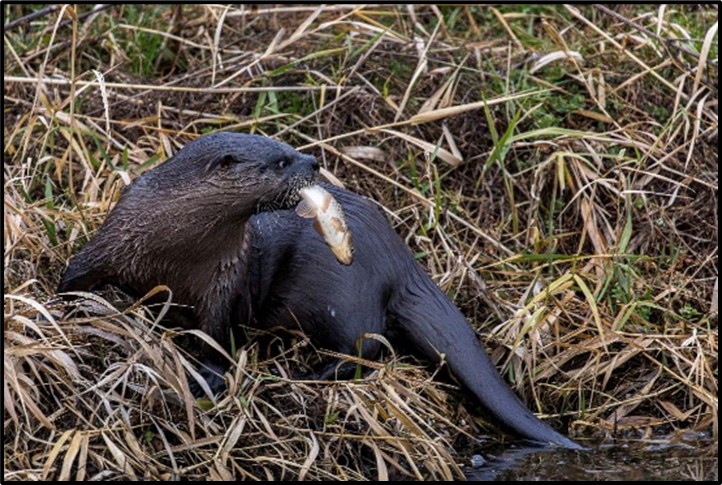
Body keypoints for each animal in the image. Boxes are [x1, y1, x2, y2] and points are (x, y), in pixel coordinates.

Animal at [59, 132, 580, 449]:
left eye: (287, 145)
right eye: (280, 159)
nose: (313, 160)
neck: (175, 246)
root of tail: (402, 261)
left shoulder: (225, 282)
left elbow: (218, 335)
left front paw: (209, 377)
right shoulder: (117, 234)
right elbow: (76, 275)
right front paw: (64, 310)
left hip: (341, 295)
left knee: (367, 347)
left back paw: (311, 374)